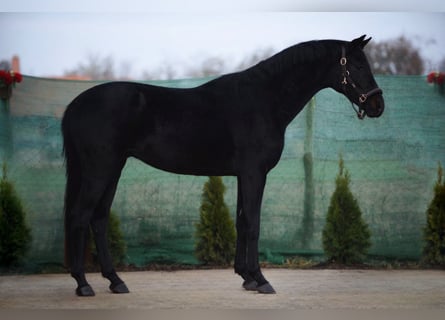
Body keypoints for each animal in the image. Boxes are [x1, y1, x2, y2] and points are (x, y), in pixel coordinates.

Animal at [63, 35, 386, 296]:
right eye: (357, 65)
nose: (377, 106)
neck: (264, 99)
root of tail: (75, 106)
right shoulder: (255, 173)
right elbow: (253, 224)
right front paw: (262, 280)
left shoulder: (244, 175)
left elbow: (242, 221)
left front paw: (247, 278)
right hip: (99, 170)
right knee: (80, 216)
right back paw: (83, 284)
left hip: (113, 169)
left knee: (99, 219)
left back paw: (115, 281)